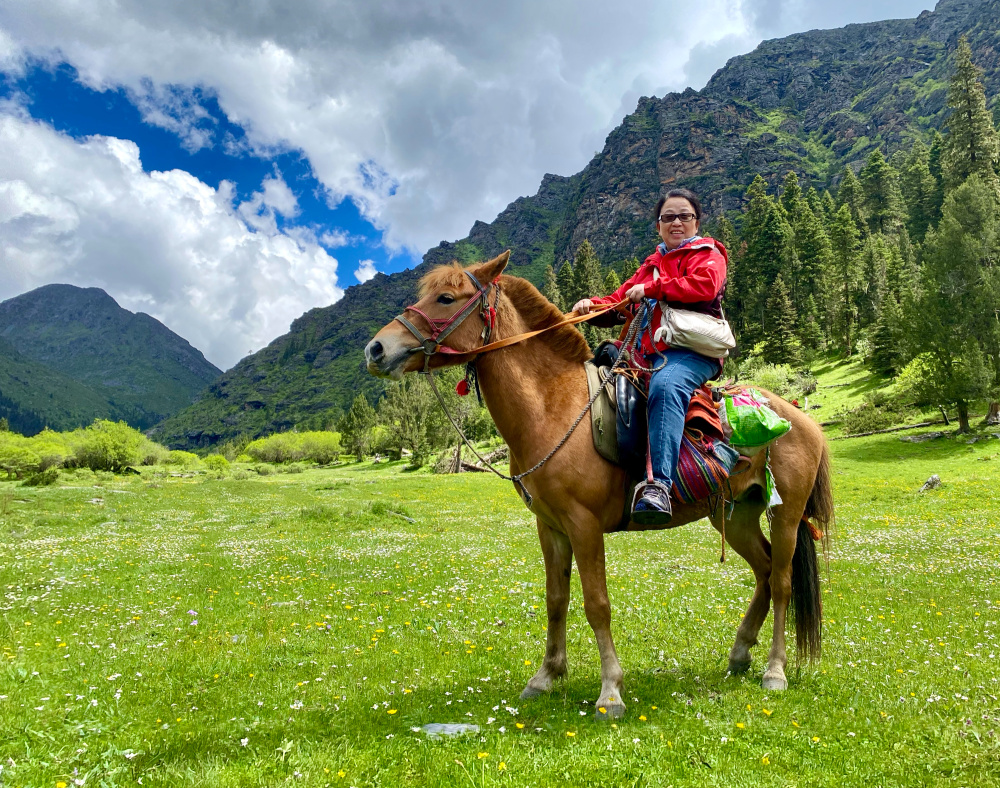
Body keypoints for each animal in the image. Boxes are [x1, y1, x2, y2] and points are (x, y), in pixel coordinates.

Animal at [364, 252, 832, 720]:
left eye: (445, 297)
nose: (376, 349)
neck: (552, 406)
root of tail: (799, 417)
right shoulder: (550, 527)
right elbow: (556, 599)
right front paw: (546, 676)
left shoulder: (583, 525)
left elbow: (597, 604)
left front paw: (610, 691)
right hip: (736, 518)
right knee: (764, 571)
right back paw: (739, 653)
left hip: (785, 514)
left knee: (782, 581)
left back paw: (774, 670)